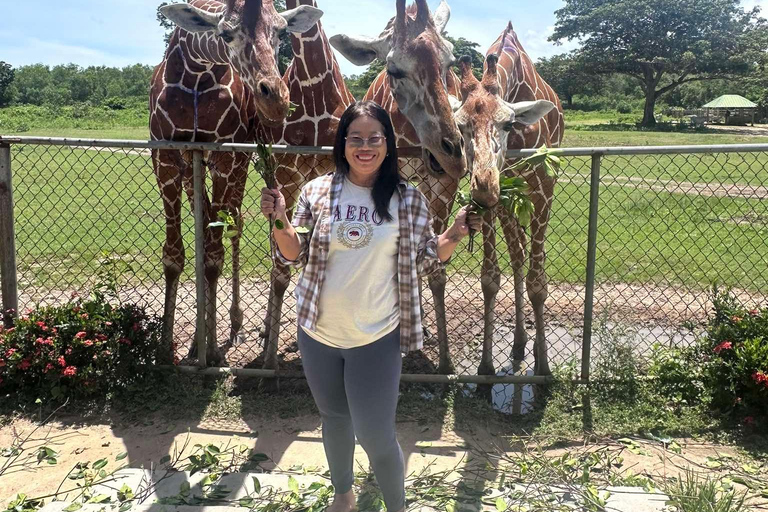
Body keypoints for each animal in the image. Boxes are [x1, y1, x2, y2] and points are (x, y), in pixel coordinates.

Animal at [150, 1, 320, 368]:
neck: (196, 72)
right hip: (192, 169)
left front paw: (213, 351)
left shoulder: (225, 156)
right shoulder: (165, 156)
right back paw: (196, 342)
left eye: (281, 32)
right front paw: (166, 349)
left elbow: (214, 255)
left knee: (234, 226)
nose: (276, 100)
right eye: (226, 34)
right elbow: (175, 254)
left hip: (240, 162)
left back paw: (233, 325)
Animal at [328, 0, 462, 376]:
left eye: (450, 62)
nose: (452, 155)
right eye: (394, 69)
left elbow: (435, 268)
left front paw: (446, 359)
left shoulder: (441, 186)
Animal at [450, 23, 564, 376]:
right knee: (517, 253)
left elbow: (538, 282)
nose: (484, 188)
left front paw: (544, 368)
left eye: (508, 123)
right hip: (511, 199)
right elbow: (489, 278)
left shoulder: (543, 187)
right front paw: (485, 366)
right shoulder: (498, 199)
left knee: (527, 255)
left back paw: (529, 346)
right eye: (460, 126)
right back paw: (518, 343)